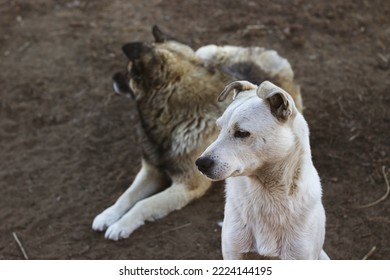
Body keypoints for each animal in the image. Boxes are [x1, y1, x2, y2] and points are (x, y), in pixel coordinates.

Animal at [93, 26, 304, 240]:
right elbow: (127, 196)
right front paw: (107, 215)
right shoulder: (151, 170)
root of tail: (267, 53)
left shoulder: (187, 185)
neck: (174, 117)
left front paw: (121, 225)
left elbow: (143, 204)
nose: (113, 77)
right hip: (204, 52)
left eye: (130, 71)